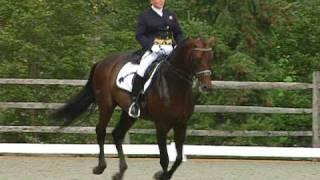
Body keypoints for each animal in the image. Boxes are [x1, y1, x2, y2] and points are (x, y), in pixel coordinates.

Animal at [53, 37, 215, 179]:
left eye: (211, 58)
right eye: (196, 58)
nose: (206, 87)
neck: (173, 85)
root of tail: (102, 62)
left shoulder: (181, 125)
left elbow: (179, 158)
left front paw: (162, 175)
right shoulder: (161, 126)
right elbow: (164, 158)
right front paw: (161, 175)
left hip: (129, 113)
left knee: (117, 134)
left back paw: (120, 173)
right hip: (106, 105)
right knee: (101, 131)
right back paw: (100, 167)